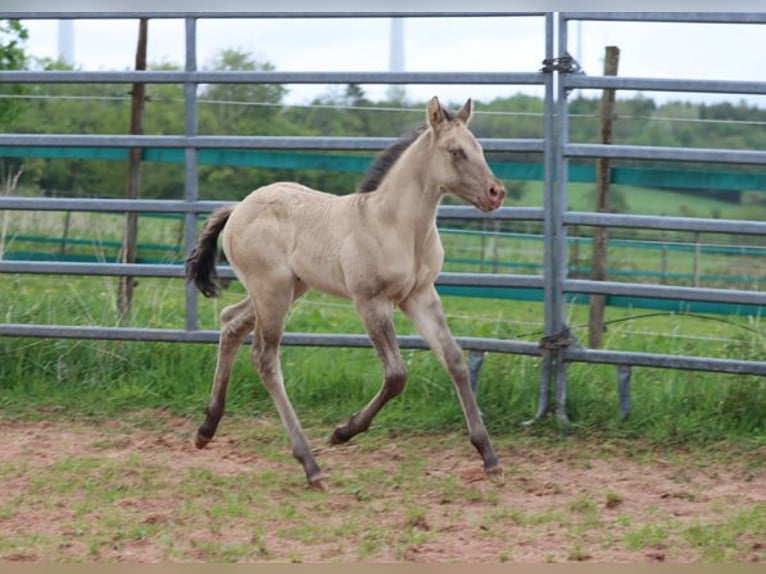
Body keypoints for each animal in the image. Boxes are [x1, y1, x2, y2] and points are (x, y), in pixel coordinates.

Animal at [185, 97, 506, 489]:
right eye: (456, 151)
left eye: (480, 149)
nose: (496, 193)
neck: (395, 225)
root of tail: (238, 209)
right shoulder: (370, 301)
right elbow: (397, 375)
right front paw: (342, 432)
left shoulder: (420, 296)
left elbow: (455, 361)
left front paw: (489, 456)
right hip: (273, 291)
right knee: (264, 357)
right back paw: (310, 465)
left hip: (288, 288)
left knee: (231, 322)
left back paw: (206, 429)